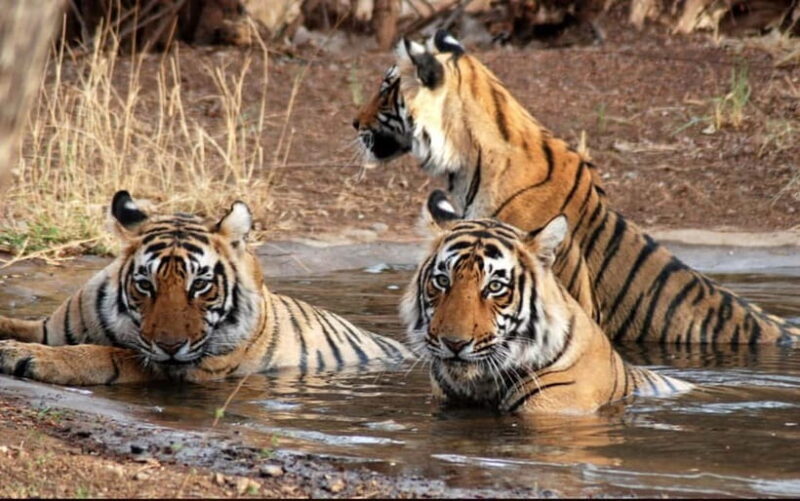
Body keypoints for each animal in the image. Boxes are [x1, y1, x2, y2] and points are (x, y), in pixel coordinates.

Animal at [0, 191, 411, 386]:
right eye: (145, 285)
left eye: (200, 285)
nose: (170, 346)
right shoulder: (48, 327)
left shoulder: (177, 368)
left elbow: (106, 355)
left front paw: (24, 356)